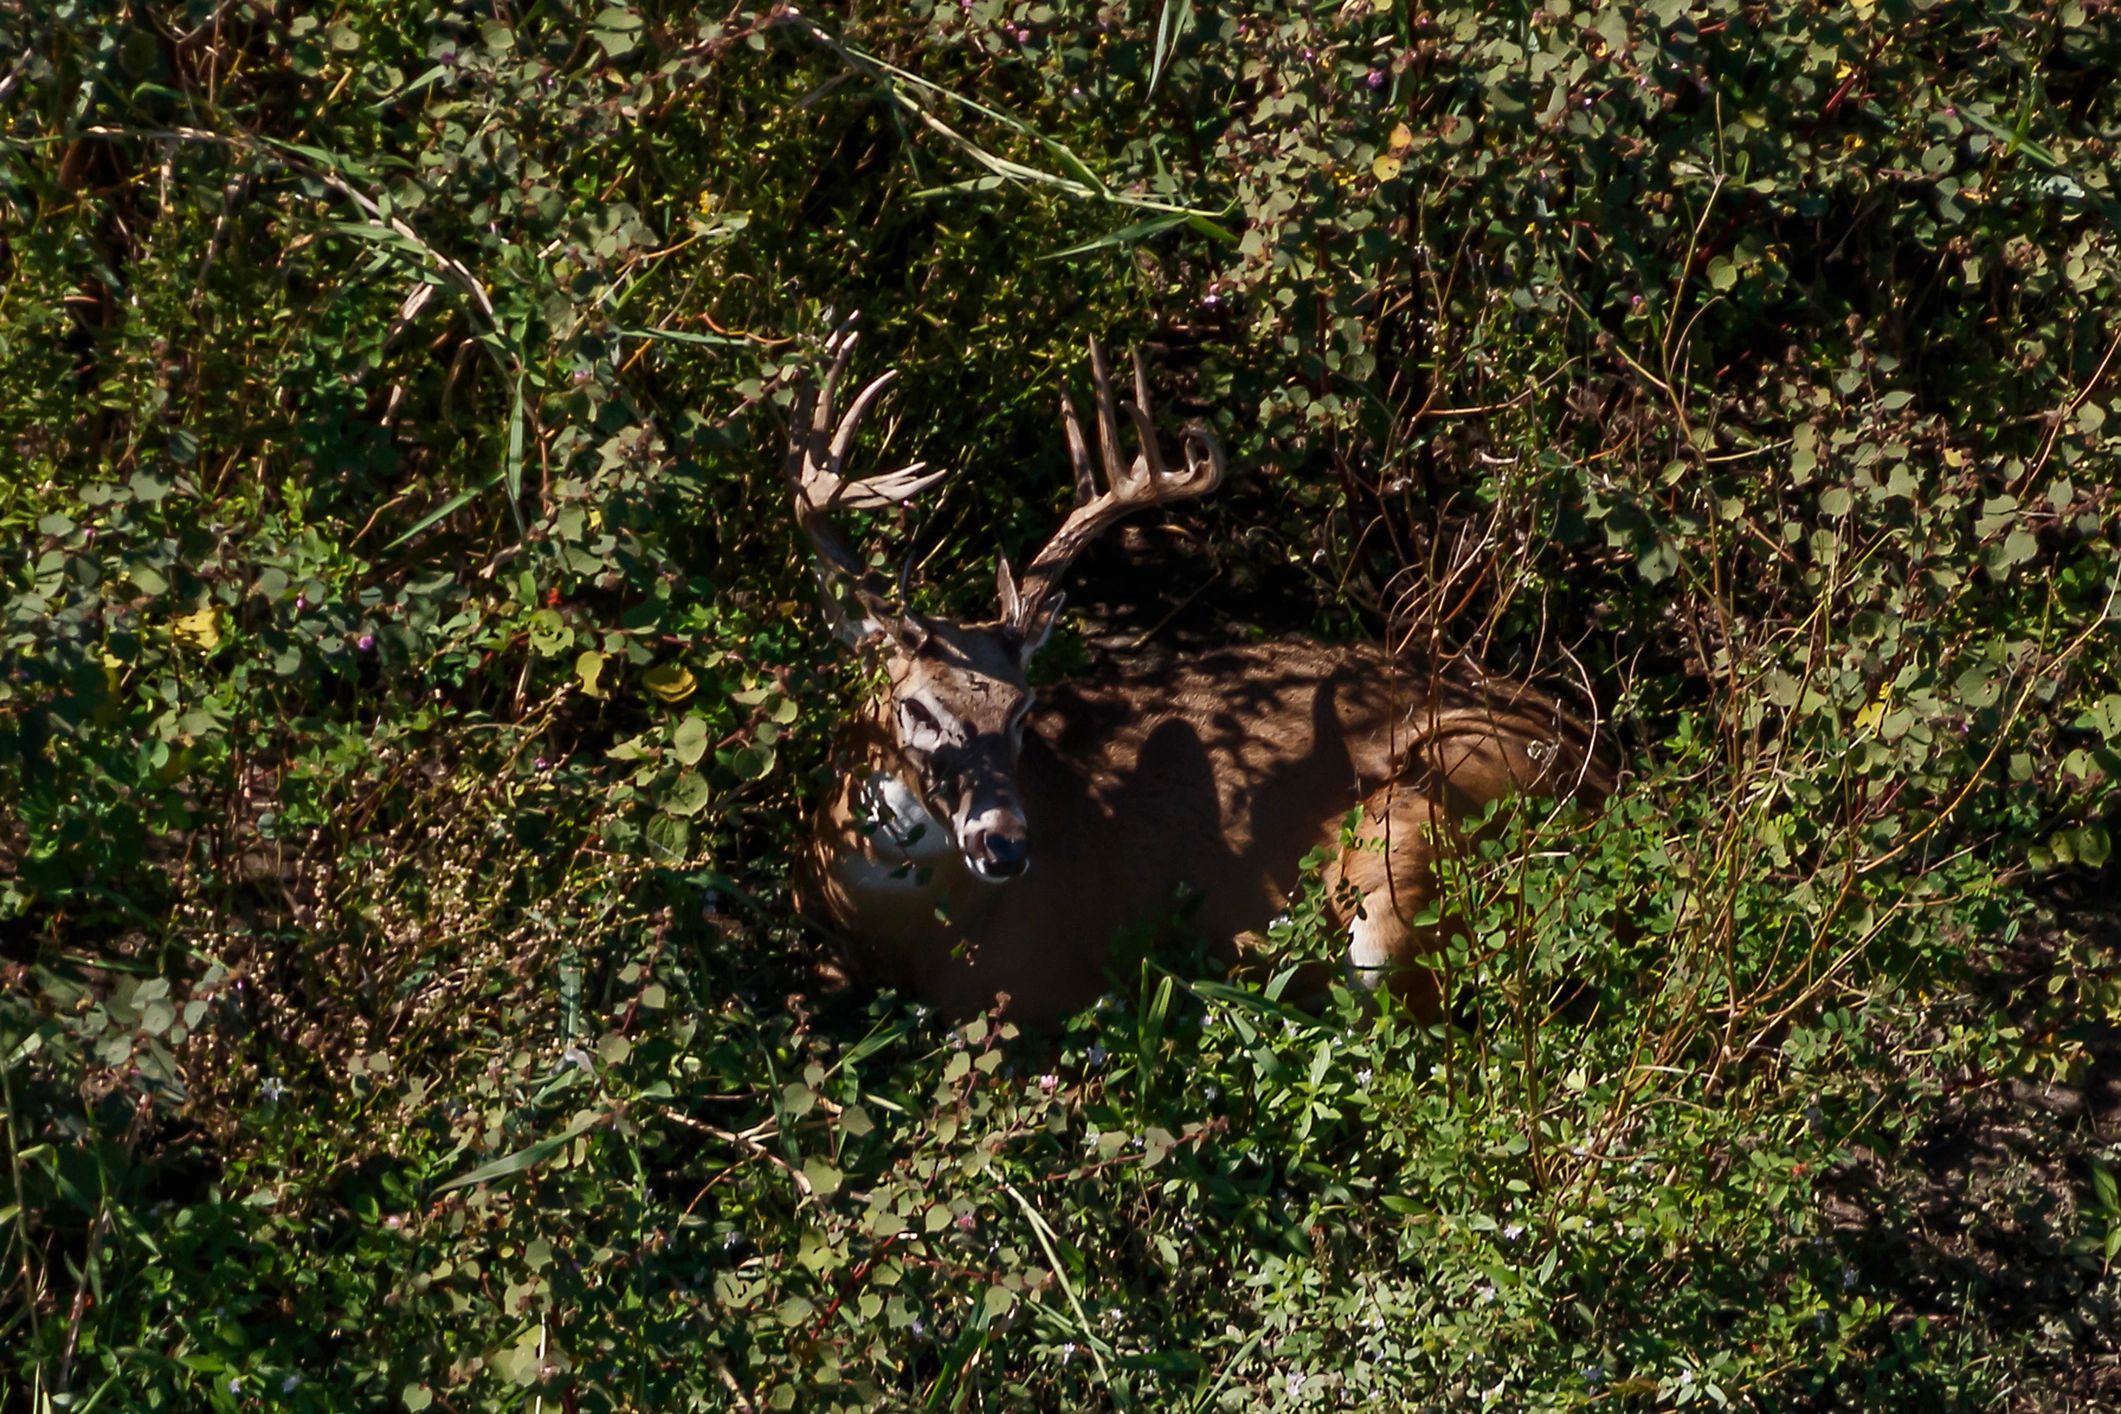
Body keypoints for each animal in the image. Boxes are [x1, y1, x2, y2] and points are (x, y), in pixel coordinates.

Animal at [782, 318, 1612, 1025]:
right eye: (915, 707)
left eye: (1021, 709)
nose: (1007, 845)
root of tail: (1600, 768)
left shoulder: (1040, 987)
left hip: (1414, 841)